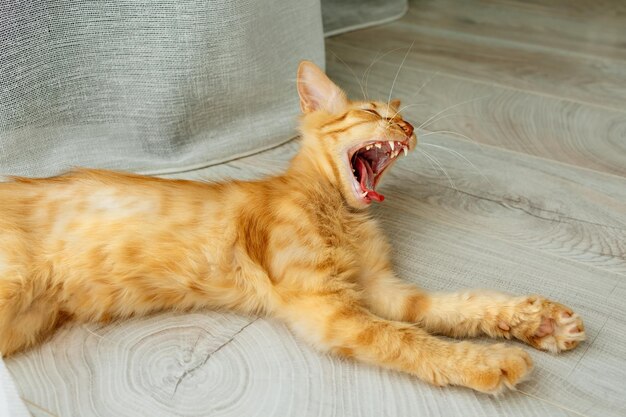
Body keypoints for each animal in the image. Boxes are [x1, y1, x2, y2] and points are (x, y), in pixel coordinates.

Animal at [0, 61, 584, 394]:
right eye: (373, 112)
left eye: (400, 116)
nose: (409, 125)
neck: (339, 210)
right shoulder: (328, 307)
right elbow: (410, 341)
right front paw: (490, 363)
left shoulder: (384, 290)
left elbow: (456, 306)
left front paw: (538, 323)